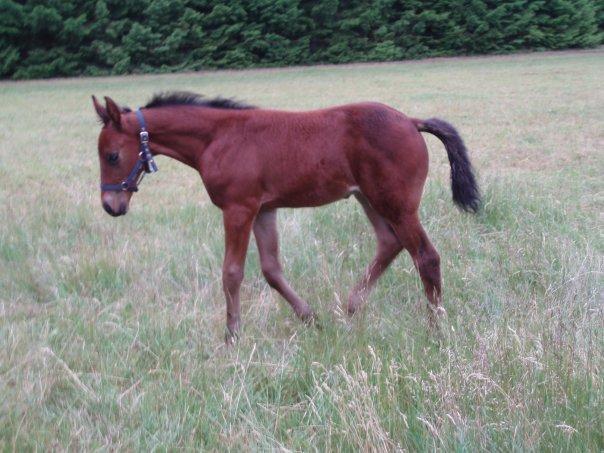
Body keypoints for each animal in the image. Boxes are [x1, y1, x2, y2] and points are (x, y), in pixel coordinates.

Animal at [93, 92, 482, 340]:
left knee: (426, 256)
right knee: (391, 243)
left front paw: (232, 335)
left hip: (396, 203)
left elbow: (231, 273)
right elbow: (271, 270)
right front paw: (310, 318)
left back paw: (435, 328)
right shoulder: (264, 209)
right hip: (370, 199)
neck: (218, 138)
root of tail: (412, 121)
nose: (111, 206)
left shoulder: (239, 208)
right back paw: (349, 308)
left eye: (112, 155)